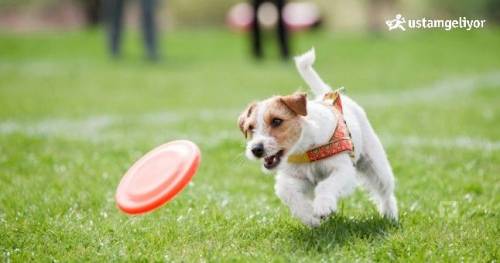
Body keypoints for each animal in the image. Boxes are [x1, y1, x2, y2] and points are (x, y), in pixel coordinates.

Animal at [238, 49, 398, 227]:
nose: (256, 149)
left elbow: (325, 185)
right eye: (250, 128)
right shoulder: (294, 177)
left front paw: (323, 207)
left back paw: (390, 215)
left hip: (376, 166)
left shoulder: (343, 170)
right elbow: (287, 192)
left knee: (385, 192)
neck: (305, 149)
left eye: (277, 121)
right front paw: (309, 217)